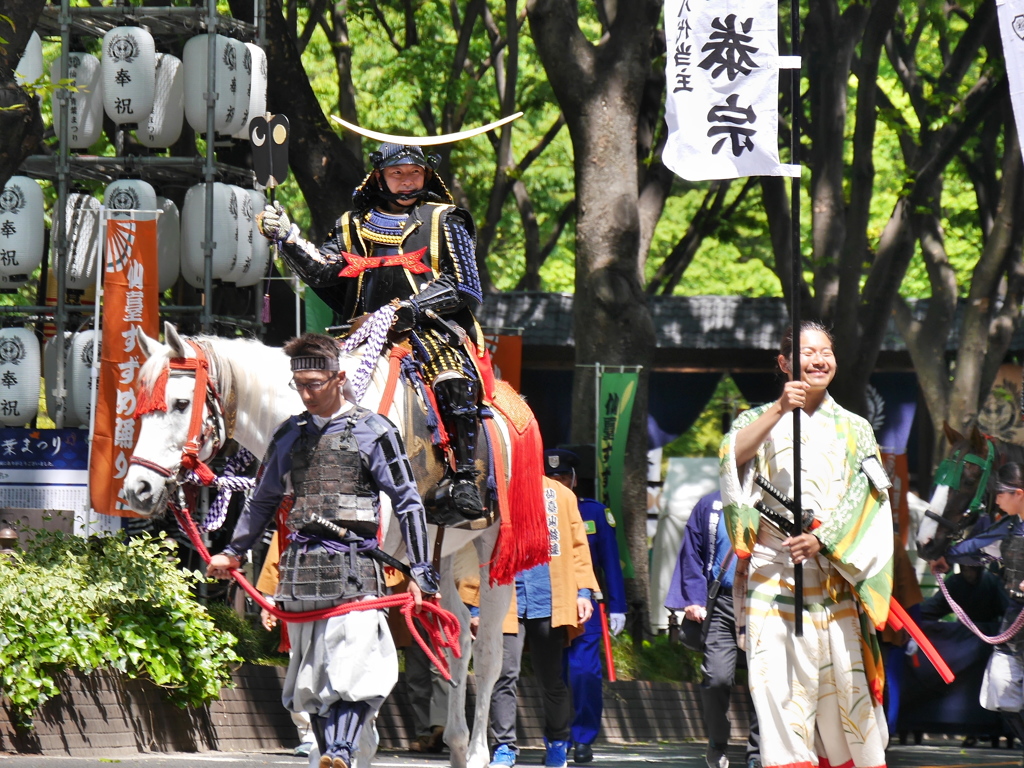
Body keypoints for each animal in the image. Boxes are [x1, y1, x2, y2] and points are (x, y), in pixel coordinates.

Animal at [122, 321, 532, 768]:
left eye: (180, 403)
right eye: (140, 407)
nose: (137, 489)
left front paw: (356, 744)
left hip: (493, 546)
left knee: (489, 652)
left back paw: (476, 752)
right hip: (436, 552)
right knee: (456, 638)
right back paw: (456, 742)